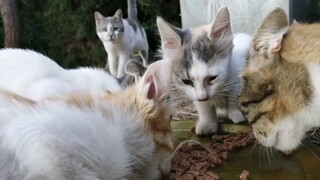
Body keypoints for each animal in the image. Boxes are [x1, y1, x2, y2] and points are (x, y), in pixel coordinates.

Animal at [156, 6, 251, 135]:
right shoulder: (195, 95)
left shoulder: (237, 76)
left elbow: (233, 96)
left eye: (212, 78)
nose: (203, 97)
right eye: (187, 81)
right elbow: (204, 107)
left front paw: (236, 114)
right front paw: (207, 124)